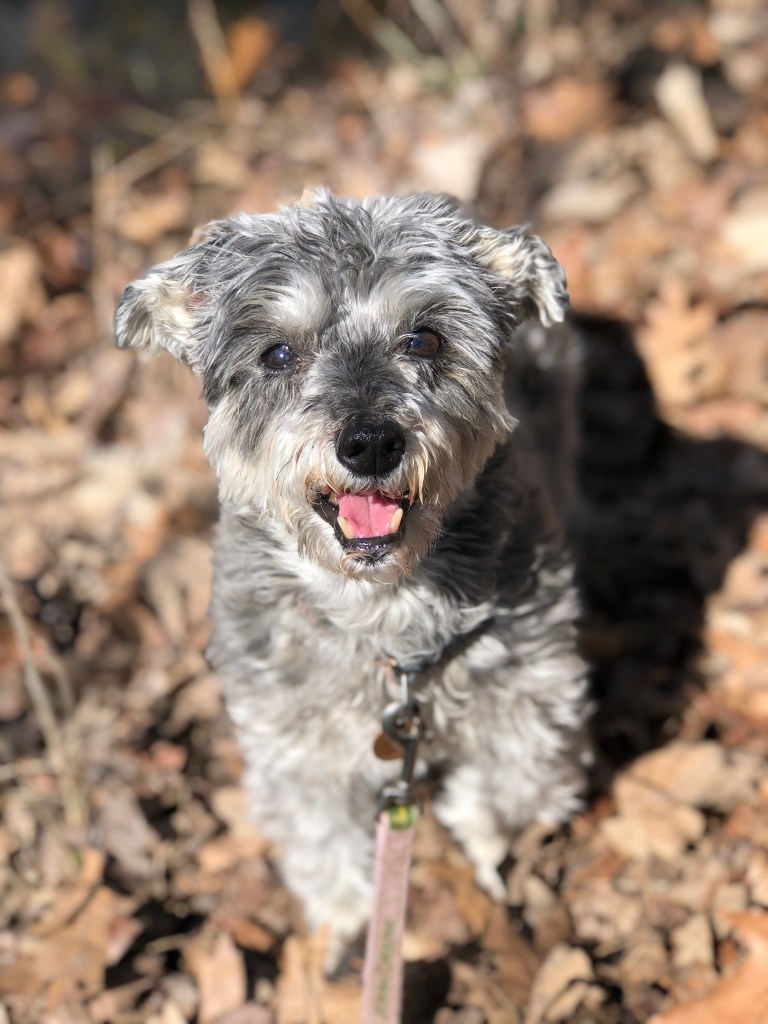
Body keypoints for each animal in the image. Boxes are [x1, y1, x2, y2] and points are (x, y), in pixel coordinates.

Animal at [115, 190, 590, 968]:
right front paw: (351, 923)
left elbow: (512, 786)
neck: (381, 608)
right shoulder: (295, 746)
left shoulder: (536, 692)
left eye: (423, 339)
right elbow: (323, 843)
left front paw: (480, 844)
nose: (369, 442)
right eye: (278, 353)